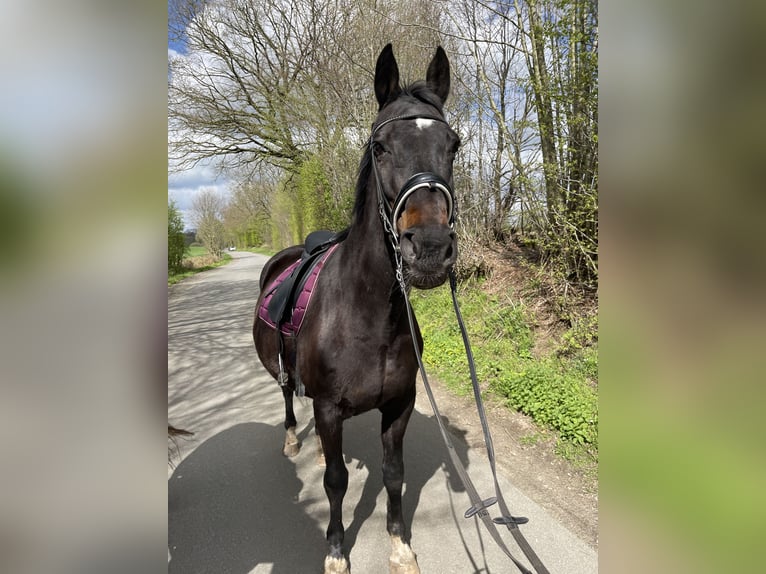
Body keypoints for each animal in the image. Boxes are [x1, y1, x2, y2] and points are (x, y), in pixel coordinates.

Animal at [255, 45, 462, 574]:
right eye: (381, 146)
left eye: (453, 145)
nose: (430, 249)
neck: (370, 316)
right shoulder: (329, 410)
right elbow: (335, 482)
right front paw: (334, 550)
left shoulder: (400, 404)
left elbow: (393, 474)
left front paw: (400, 545)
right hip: (285, 373)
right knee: (288, 395)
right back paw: (292, 438)